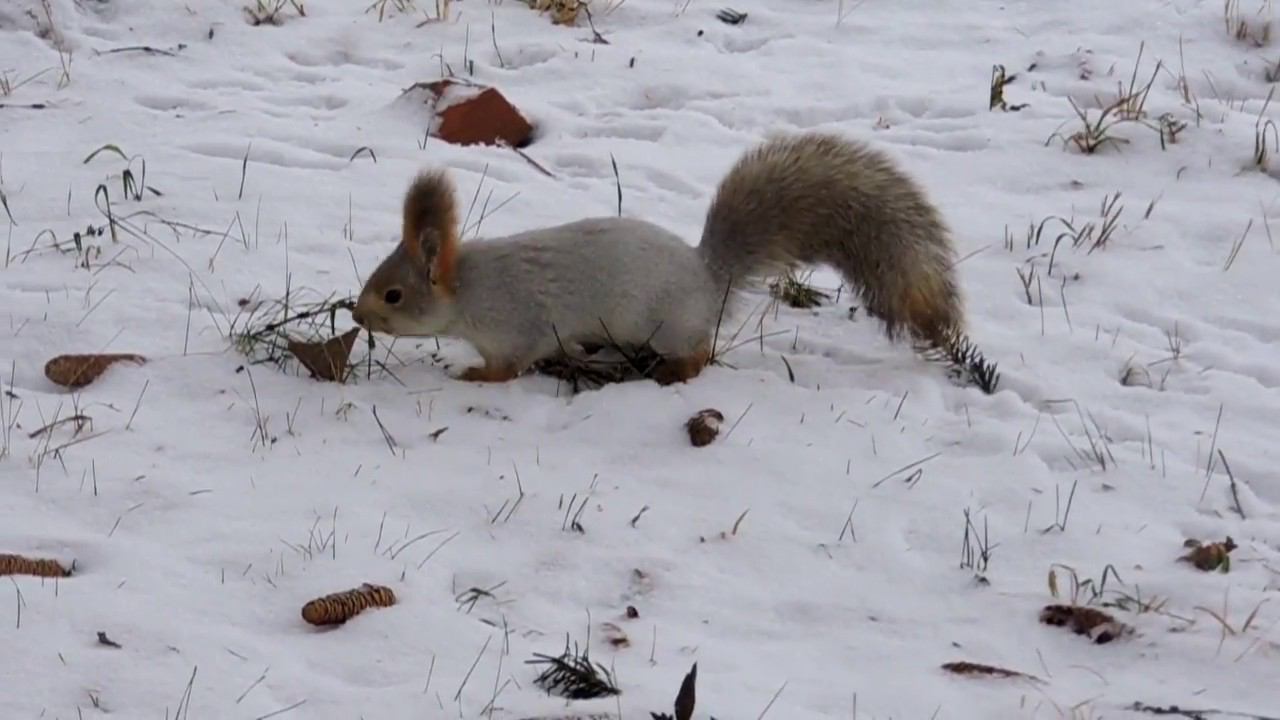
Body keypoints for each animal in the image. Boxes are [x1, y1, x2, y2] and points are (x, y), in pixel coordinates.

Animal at [350, 128, 988, 386]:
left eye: (394, 294)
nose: (356, 316)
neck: (469, 289)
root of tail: (708, 278)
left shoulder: (518, 323)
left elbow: (512, 363)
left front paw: (477, 376)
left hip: (666, 325)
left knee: (699, 352)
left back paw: (674, 372)